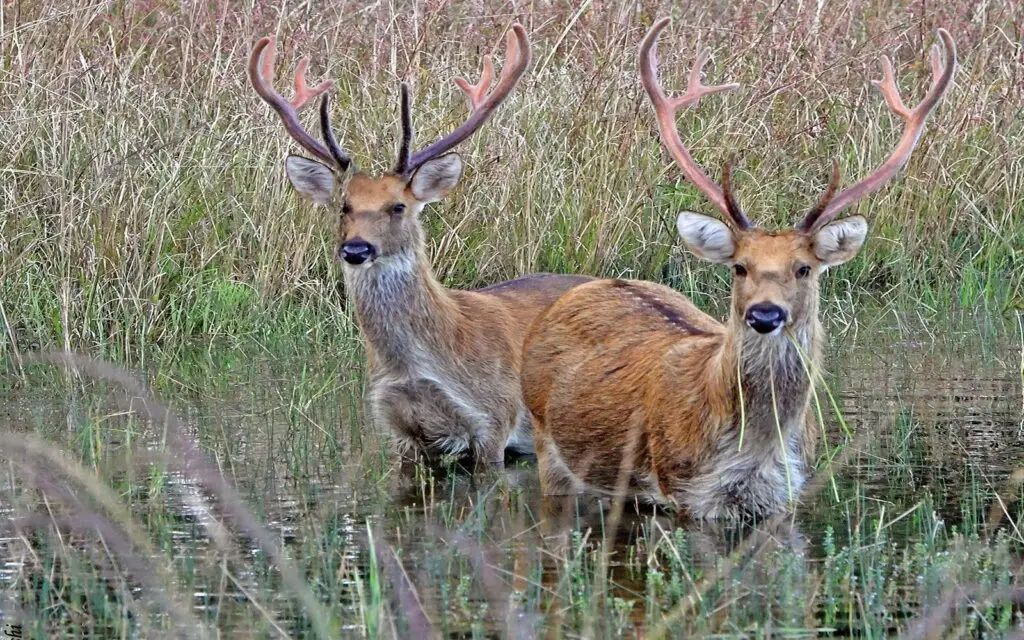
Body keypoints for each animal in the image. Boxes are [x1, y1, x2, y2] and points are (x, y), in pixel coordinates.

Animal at [520, 19, 956, 519]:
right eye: (740, 268)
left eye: (804, 268)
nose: (765, 314)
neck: (753, 451)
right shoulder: (683, 491)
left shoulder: (785, 494)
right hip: (546, 441)